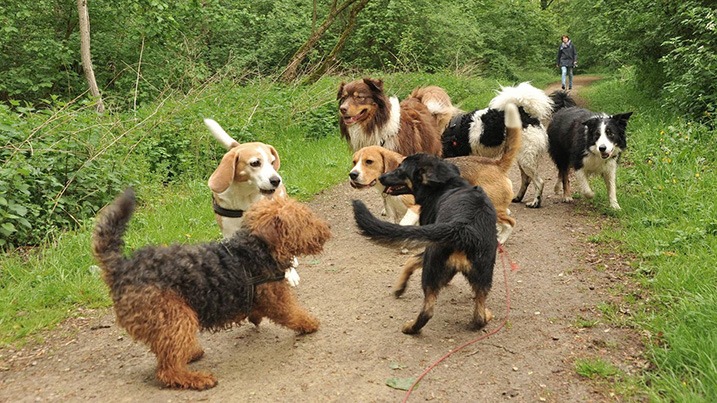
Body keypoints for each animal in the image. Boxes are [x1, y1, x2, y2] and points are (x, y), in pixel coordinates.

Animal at [90, 189, 332, 392]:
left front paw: (255, 317)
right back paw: (197, 378)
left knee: (166, 353)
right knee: (167, 370)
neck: (255, 247)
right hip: (177, 316)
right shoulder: (277, 299)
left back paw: (191, 353)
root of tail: (120, 268)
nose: (327, 228)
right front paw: (310, 323)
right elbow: (294, 313)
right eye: (305, 220)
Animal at [204, 119, 300, 288]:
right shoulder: (229, 231)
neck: (244, 196)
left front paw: (289, 273)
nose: (276, 180)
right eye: (255, 163)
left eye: (272, 162)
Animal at [346, 102, 520, 245]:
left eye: (369, 162)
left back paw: (501, 239)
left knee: (511, 222)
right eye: (354, 162)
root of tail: (496, 164)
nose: (352, 175)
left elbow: (404, 225)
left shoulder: (414, 207)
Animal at [350, 155, 496, 334]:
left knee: (427, 311)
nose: (381, 177)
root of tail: (462, 228)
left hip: (431, 264)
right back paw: (486, 315)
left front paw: (400, 287)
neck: (447, 184)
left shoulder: (427, 241)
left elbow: (410, 261)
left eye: (400, 168)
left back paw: (410, 328)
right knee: (479, 316)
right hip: (484, 275)